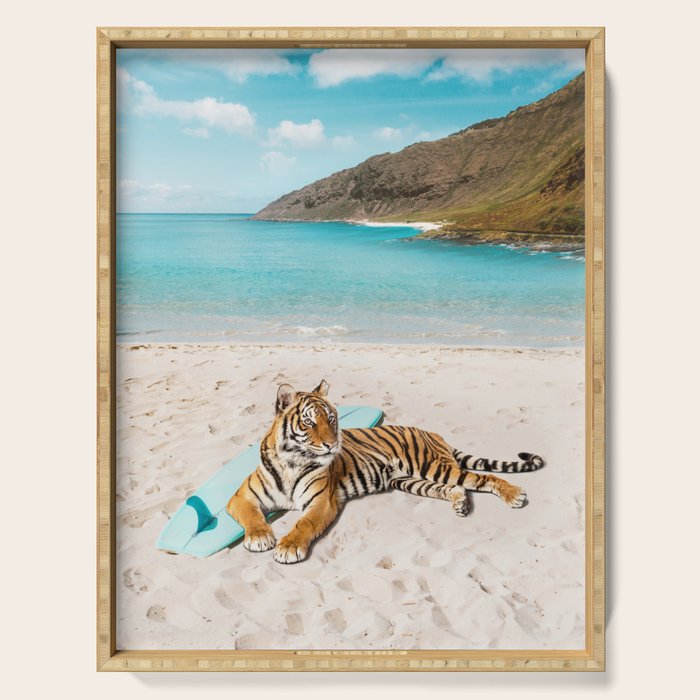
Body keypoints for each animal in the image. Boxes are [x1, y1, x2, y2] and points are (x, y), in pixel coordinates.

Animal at [226, 380, 544, 564]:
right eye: (309, 422)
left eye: (331, 419)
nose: (332, 444)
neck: (292, 461)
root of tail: (433, 432)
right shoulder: (241, 497)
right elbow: (252, 516)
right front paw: (259, 537)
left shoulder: (321, 502)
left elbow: (304, 524)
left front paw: (288, 547)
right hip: (411, 481)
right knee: (456, 488)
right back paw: (460, 504)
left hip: (434, 467)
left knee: (483, 478)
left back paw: (514, 495)